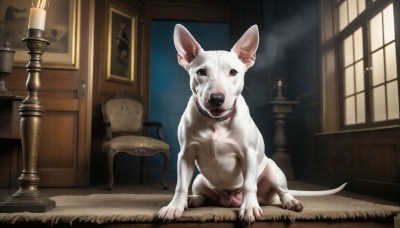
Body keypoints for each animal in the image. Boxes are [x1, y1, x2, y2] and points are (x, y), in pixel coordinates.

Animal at [157, 24, 346, 224]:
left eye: (233, 72)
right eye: (201, 72)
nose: (216, 98)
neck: (216, 122)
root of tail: (230, 198)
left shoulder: (247, 153)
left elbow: (249, 184)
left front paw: (249, 208)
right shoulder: (186, 155)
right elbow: (180, 186)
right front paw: (174, 207)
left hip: (273, 171)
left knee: (282, 191)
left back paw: (290, 202)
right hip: (199, 179)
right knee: (203, 194)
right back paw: (193, 200)